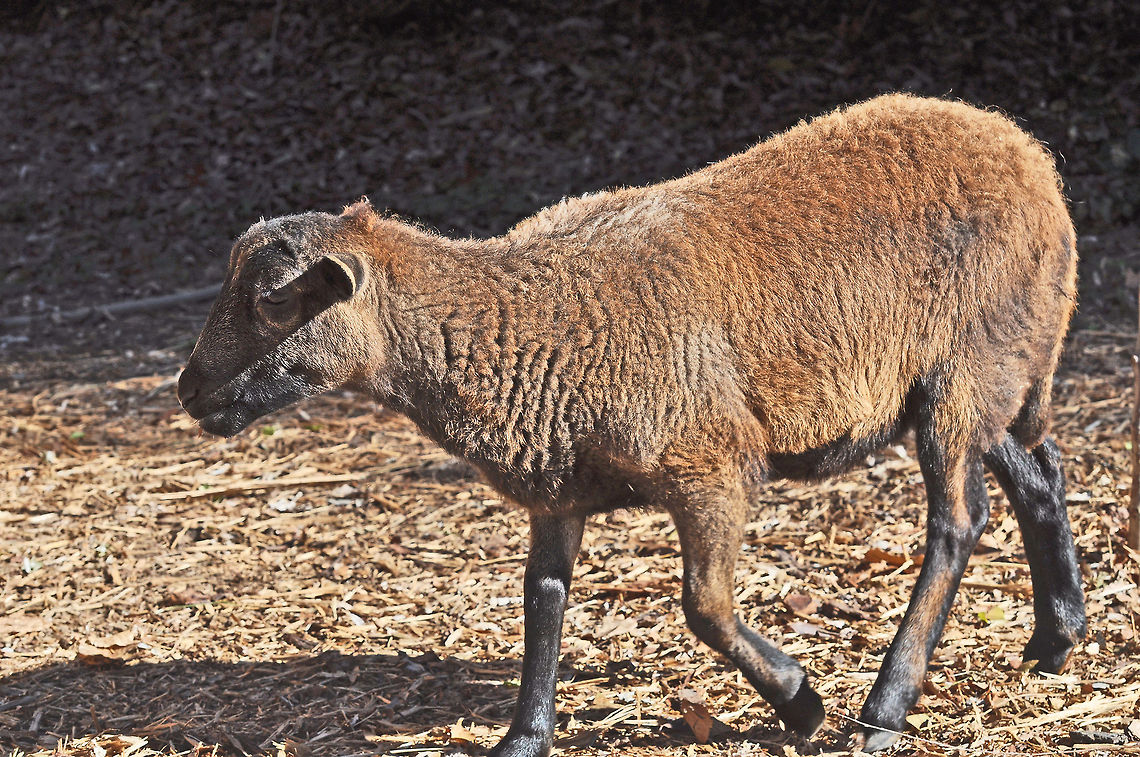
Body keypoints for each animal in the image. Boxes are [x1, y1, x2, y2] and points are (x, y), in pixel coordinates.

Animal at [177, 93, 1085, 754]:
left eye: (273, 300)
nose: (188, 391)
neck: (522, 318)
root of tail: (1027, 154)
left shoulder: (711, 461)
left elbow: (704, 605)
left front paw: (801, 701)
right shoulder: (559, 487)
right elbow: (543, 599)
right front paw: (523, 737)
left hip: (964, 367)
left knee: (958, 519)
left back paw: (885, 705)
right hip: (991, 371)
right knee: (1039, 471)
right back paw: (1057, 636)